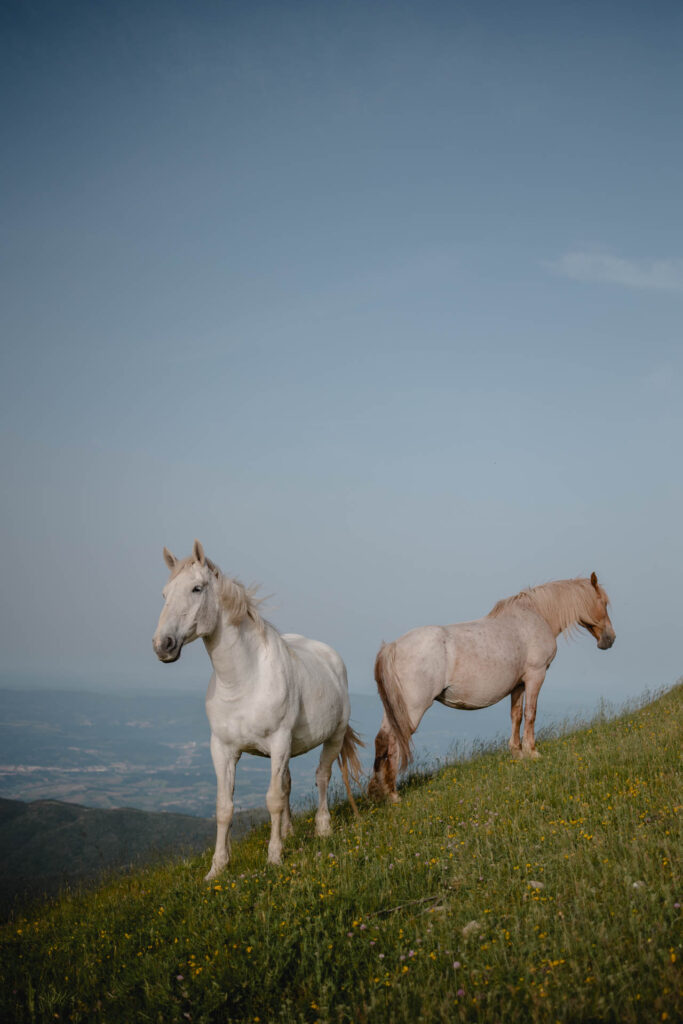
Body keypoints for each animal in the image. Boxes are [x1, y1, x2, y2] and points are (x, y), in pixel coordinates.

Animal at [154, 540, 362, 876]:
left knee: (322, 776)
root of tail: (330, 656)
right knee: (289, 783)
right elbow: (224, 807)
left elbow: (273, 799)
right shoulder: (222, 749)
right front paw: (217, 868)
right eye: (164, 594)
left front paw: (274, 857)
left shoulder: (278, 742)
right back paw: (289, 832)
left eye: (197, 588)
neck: (243, 682)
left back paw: (323, 828)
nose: (163, 645)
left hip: (333, 737)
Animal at [370, 573, 618, 802]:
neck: (536, 615)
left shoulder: (518, 684)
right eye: (603, 602)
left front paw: (517, 752)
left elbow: (516, 715)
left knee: (382, 739)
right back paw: (393, 794)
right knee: (394, 740)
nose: (610, 639)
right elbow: (530, 713)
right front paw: (532, 751)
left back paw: (379, 791)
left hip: (394, 709)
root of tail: (393, 647)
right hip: (412, 709)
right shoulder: (535, 675)